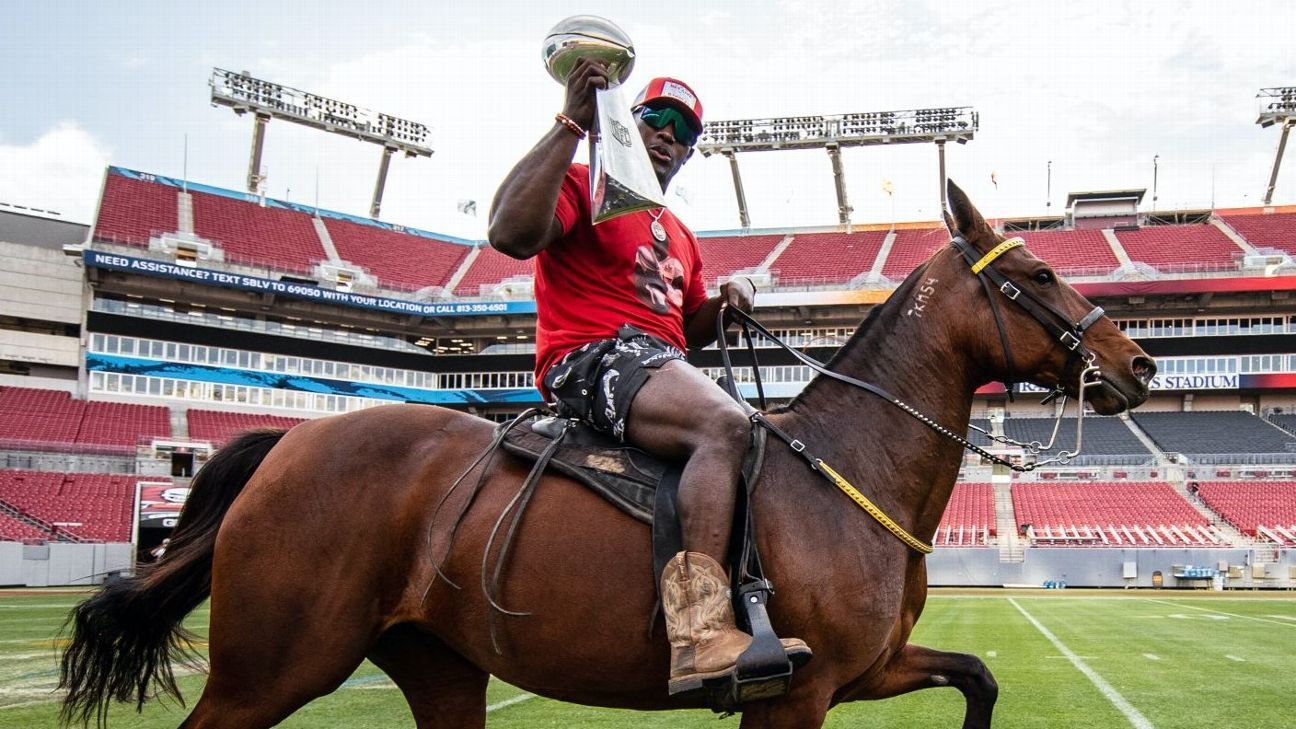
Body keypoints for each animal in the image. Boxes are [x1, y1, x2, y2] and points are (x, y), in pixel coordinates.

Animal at [58, 179, 1156, 721]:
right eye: (1038, 274)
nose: (1137, 361)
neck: (847, 471)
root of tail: (293, 444)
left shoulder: (871, 670)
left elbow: (979, 678)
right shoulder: (795, 697)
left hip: (439, 666)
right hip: (271, 667)